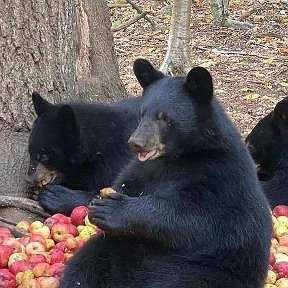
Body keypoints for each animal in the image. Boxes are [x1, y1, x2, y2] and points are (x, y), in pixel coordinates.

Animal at [59, 59, 272, 288]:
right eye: (142, 113)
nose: (136, 143)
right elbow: (126, 182)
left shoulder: (219, 175)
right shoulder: (143, 168)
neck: (177, 156)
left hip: (206, 272)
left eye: (164, 117)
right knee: (87, 263)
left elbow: (195, 217)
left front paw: (113, 208)